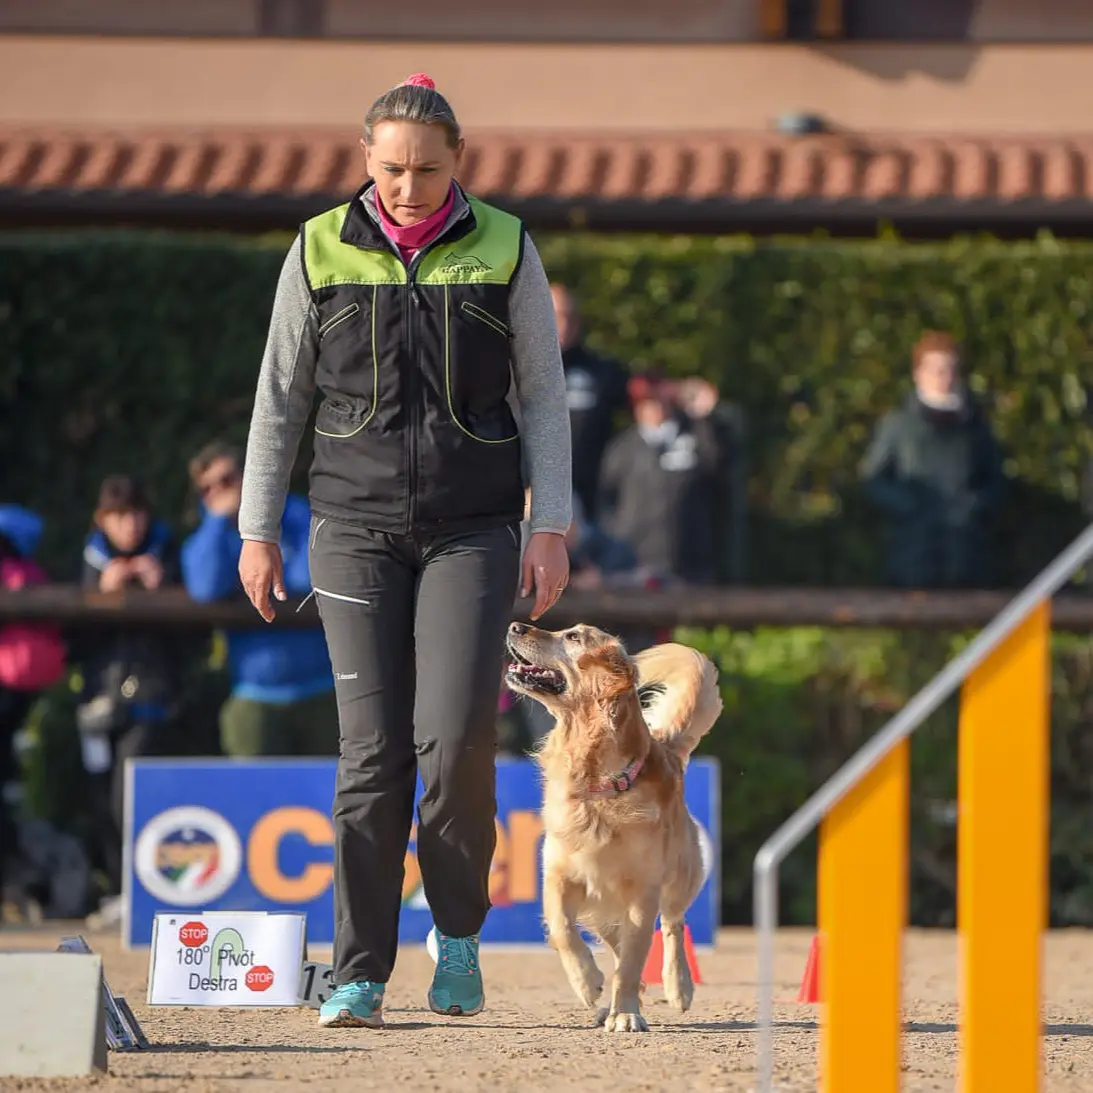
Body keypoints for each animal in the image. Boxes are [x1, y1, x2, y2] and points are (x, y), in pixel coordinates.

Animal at [504, 625, 725, 1031]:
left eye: (573, 637)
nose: (515, 626)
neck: (596, 782)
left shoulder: (641, 894)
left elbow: (636, 957)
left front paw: (625, 1014)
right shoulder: (559, 875)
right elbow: (562, 929)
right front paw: (588, 982)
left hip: (680, 876)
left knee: (673, 924)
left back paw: (678, 986)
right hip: (605, 906)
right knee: (619, 944)